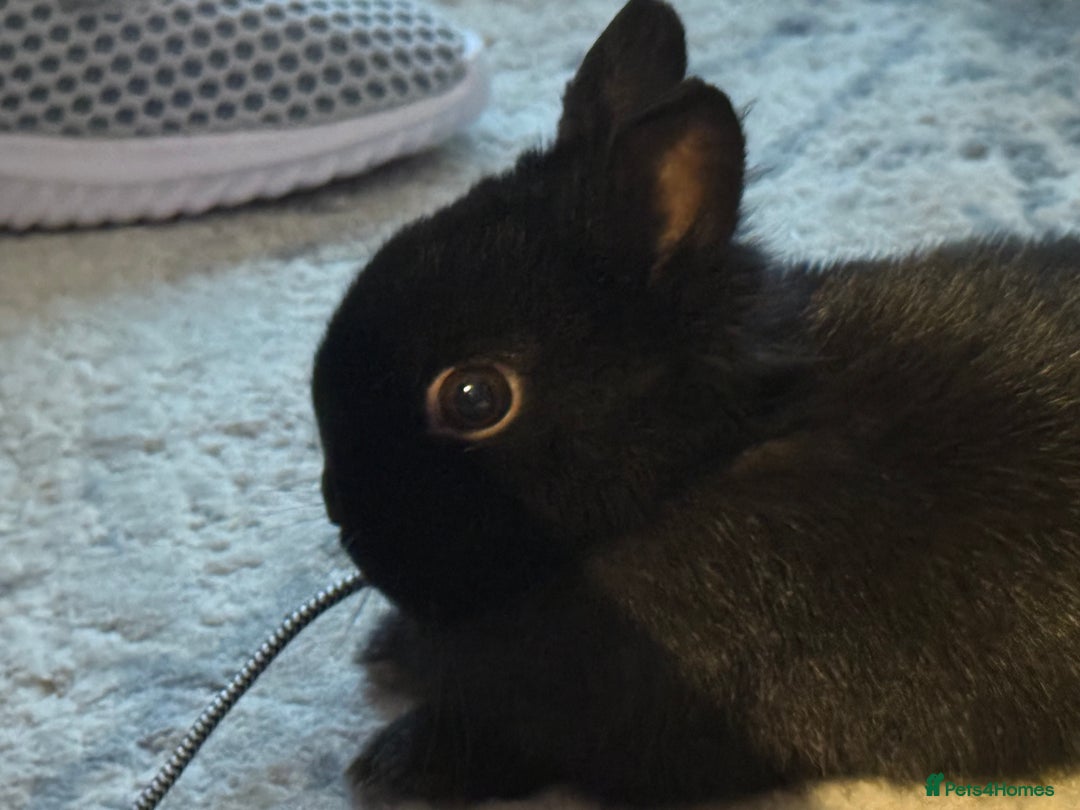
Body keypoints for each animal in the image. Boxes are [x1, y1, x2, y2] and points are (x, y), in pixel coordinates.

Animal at [311, 0, 1080, 805]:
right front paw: (388, 650)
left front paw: (396, 762)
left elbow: (510, 741)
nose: (338, 507)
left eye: (473, 398)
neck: (696, 466)